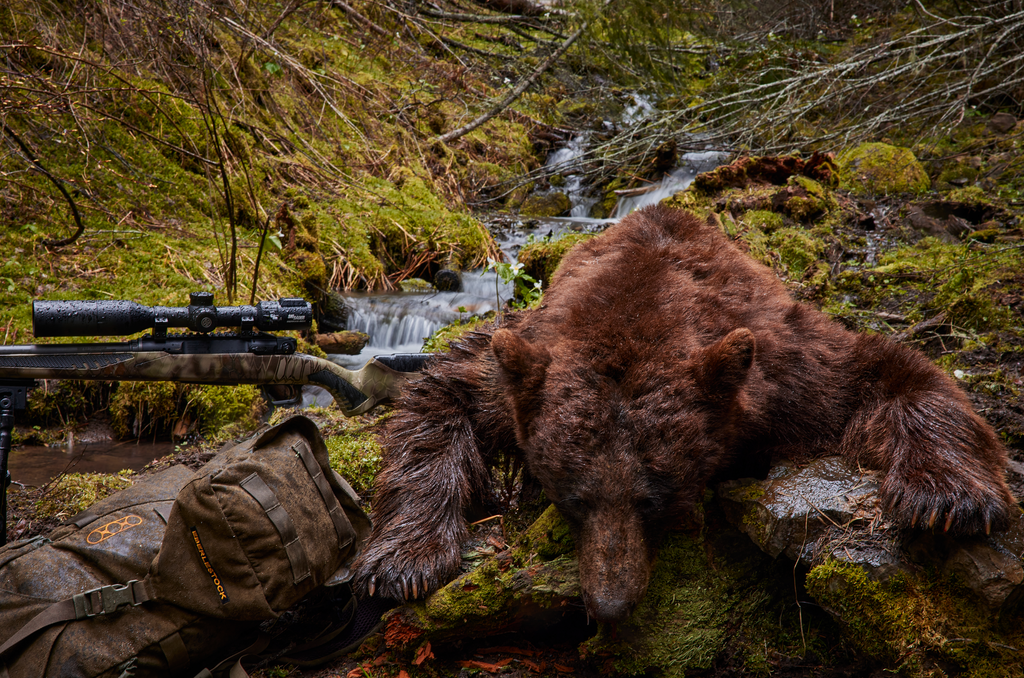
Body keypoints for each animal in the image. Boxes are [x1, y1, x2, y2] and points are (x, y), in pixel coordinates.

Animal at [353, 204, 1016, 624]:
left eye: (654, 497)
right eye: (575, 498)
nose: (609, 606)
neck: (639, 302)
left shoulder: (787, 369)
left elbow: (889, 372)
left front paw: (947, 496)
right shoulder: (523, 365)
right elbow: (439, 395)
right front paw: (404, 560)